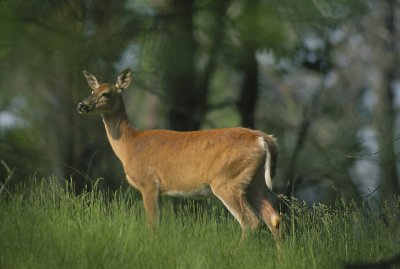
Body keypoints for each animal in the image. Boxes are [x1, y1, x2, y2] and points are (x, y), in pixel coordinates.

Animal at [77, 67, 282, 237]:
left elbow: (152, 224)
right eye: (92, 91)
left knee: (250, 222)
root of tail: (262, 138)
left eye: (106, 94)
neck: (130, 145)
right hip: (254, 181)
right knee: (274, 218)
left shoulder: (149, 183)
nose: (81, 105)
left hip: (227, 180)